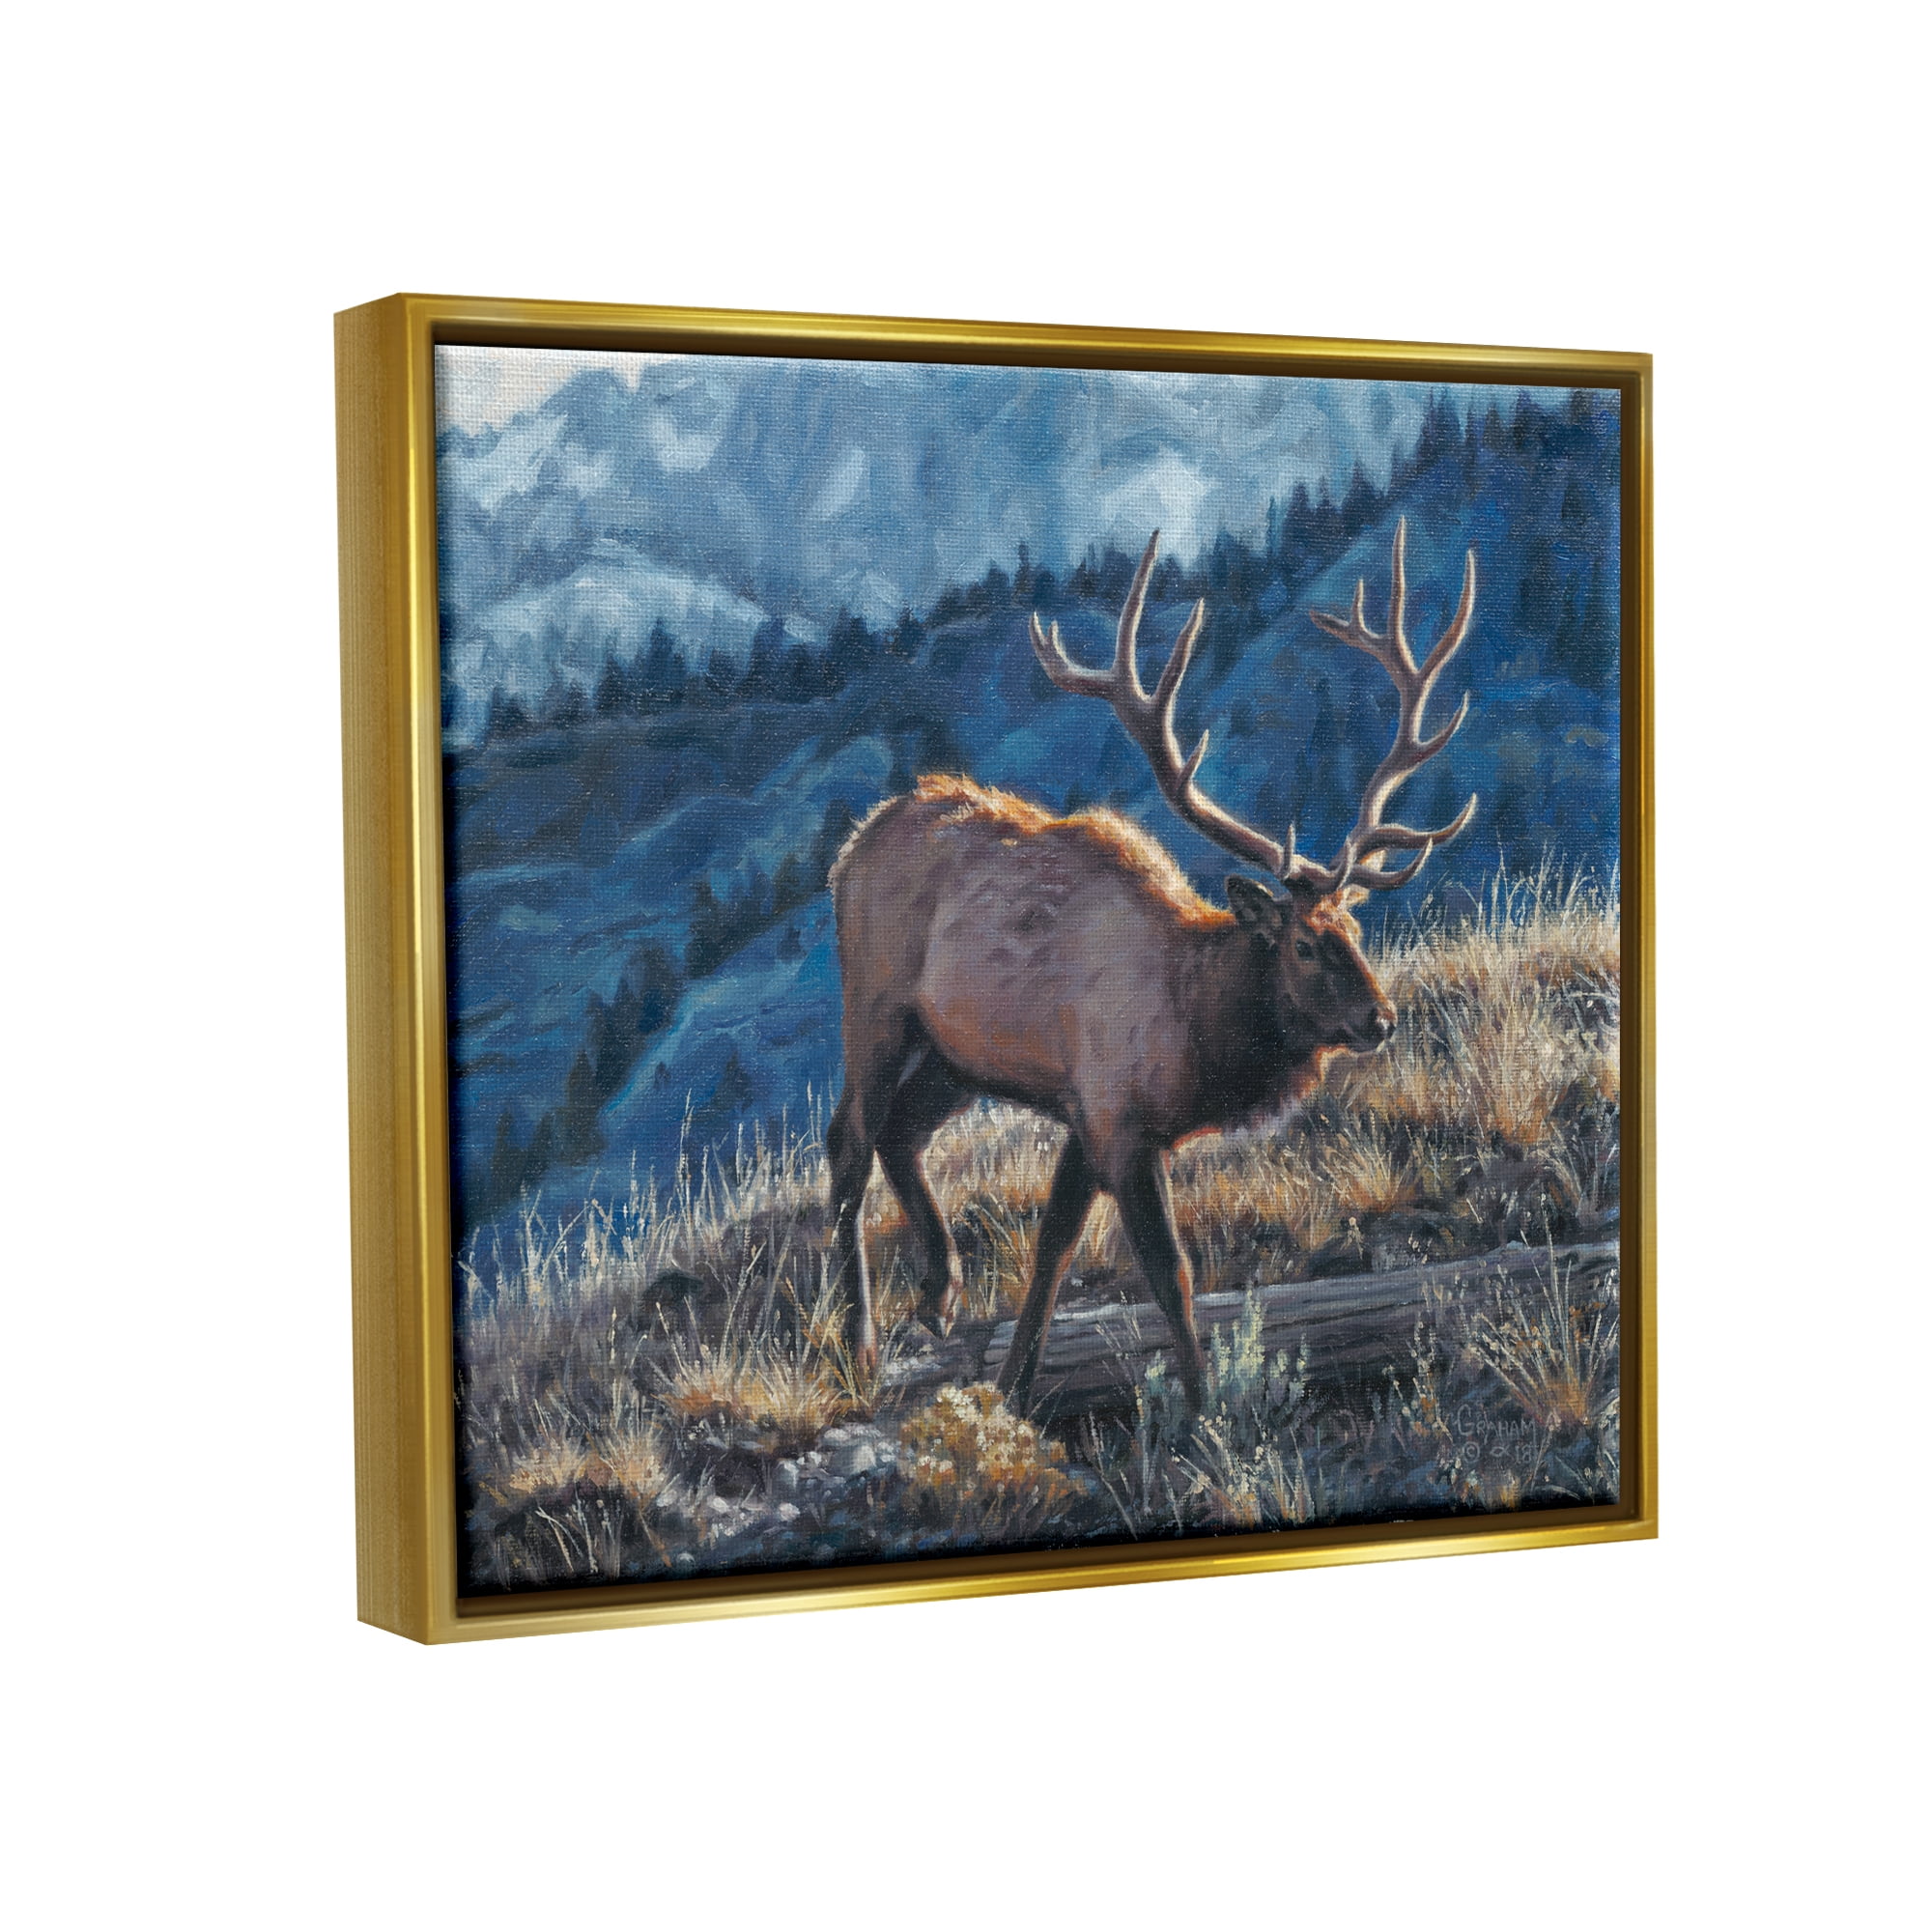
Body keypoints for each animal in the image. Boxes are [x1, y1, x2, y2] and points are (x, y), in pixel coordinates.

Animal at [825, 519, 1479, 1411]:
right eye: (1306, 944)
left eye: (1355, 927)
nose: (1379, 1018)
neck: (1196, 1030)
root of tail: (849, 850)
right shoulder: (1118, 1118)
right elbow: (1169, 1271)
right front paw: (1205, 1412)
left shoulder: (1086, 1115)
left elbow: (1054, 1249)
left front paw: (1014, 1389)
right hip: (876, 1006)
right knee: (849, 1145)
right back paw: (857, 1346)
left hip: (954, 1054)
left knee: (899, 1133)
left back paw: (939, 1293)